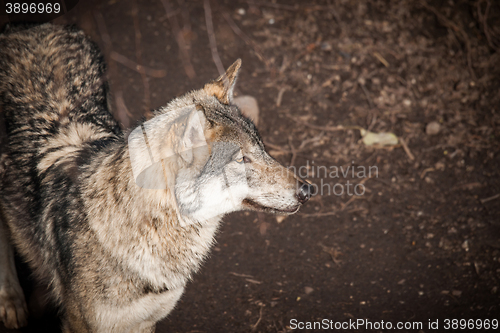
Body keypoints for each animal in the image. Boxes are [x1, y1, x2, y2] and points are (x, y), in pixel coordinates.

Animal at [0, 24, 312, 332]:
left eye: (261, 147)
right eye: (241, 159)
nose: (307, 190)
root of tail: (30, 27)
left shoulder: (146, 321)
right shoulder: (84, 324)